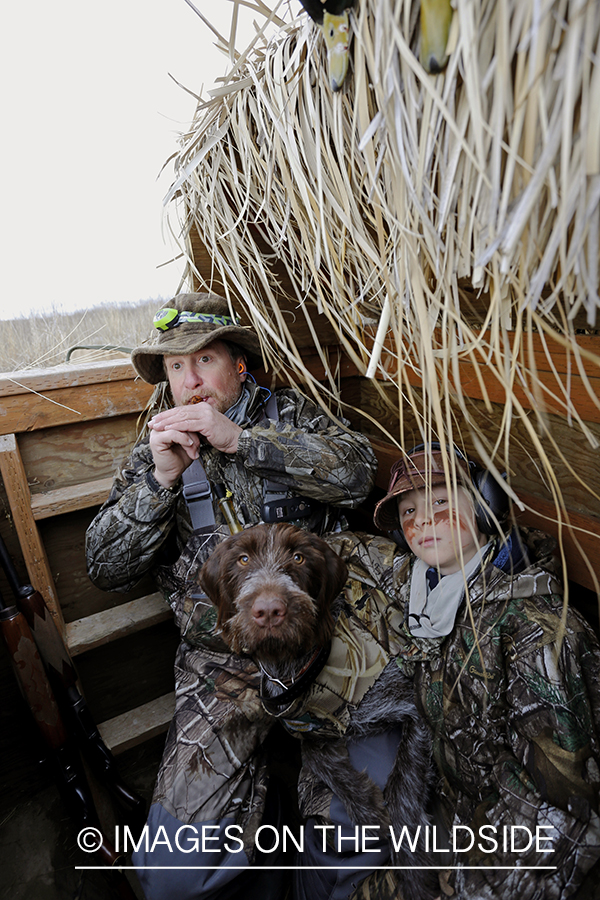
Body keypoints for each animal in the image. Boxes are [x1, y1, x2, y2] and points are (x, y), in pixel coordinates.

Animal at [199, 524, 438, 896]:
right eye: (242, 560)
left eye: (298, 557)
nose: (270, 610)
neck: (298, 670)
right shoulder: (305, 726)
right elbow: (315, 755)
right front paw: (366, 807)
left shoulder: (411, 704)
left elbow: (404, 783)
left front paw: (414, 875)